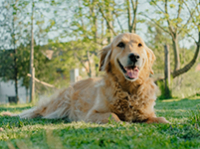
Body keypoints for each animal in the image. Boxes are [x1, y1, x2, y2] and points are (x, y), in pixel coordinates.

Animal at [5, 33, 169, 124]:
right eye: (121, 44)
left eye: (140, 45)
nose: (135, 56)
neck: (128, 90)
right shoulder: (92, 114)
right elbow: (113, 116)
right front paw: (123, 122)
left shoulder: (147, 113)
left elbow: (161, 120)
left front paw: (165, 121)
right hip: (60, 105)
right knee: (36, 113)